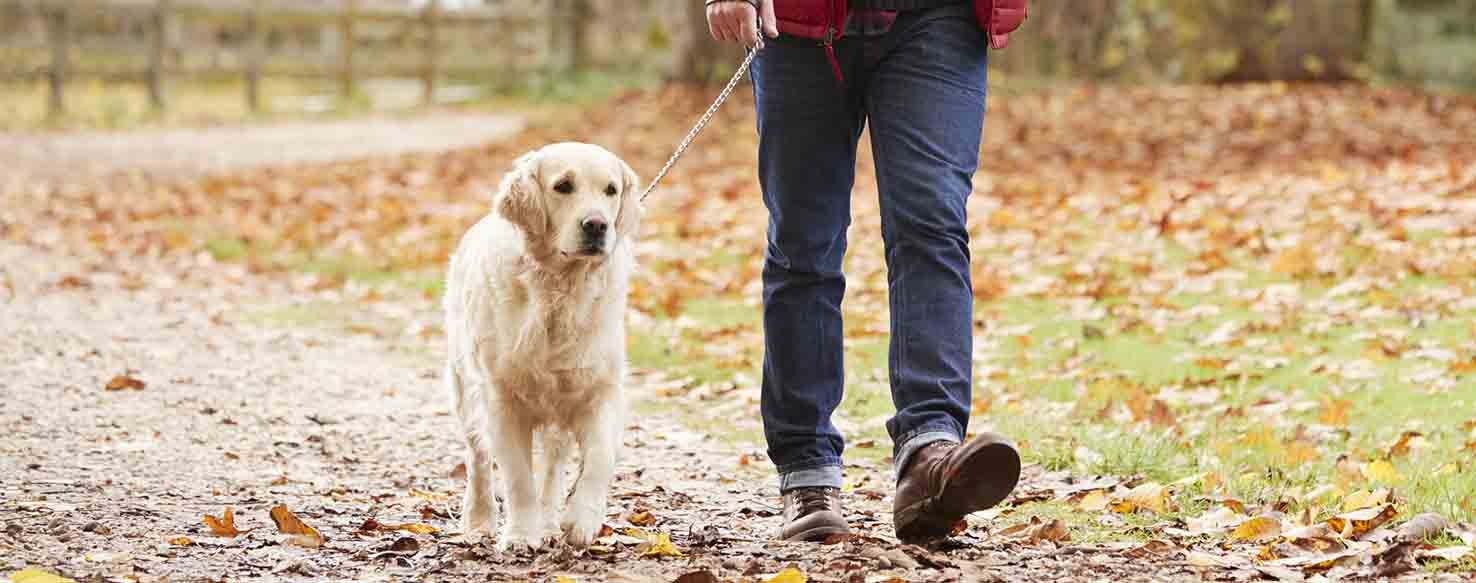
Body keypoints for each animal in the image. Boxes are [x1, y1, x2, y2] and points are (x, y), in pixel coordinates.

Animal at [442, 141, 640, 552]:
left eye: (611, 190)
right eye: (563, 186)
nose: (597, 225)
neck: (560, 288)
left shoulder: (601, 390)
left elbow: (599, 458)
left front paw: (581, 520)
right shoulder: (502, 400)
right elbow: (518, 477)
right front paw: (520, 534)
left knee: (552, 464)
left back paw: (549, 522)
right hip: (463, 388)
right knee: (478, 457)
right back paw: (480, 519)